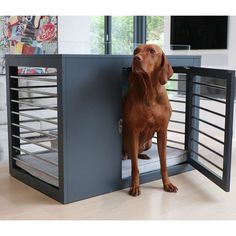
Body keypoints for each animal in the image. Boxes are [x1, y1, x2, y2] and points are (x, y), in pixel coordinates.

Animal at [122, 43, 178, 195]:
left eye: (152, 51)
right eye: (135, 51)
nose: (136, 58)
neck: (149, 93)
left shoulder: (162, 131)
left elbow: (163, 162)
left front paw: (167, 184)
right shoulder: (134, 131)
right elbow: (134, 167)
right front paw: (135, 186)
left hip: (148, 143)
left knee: (135, 154)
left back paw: (143, 156)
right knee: (129, 156)